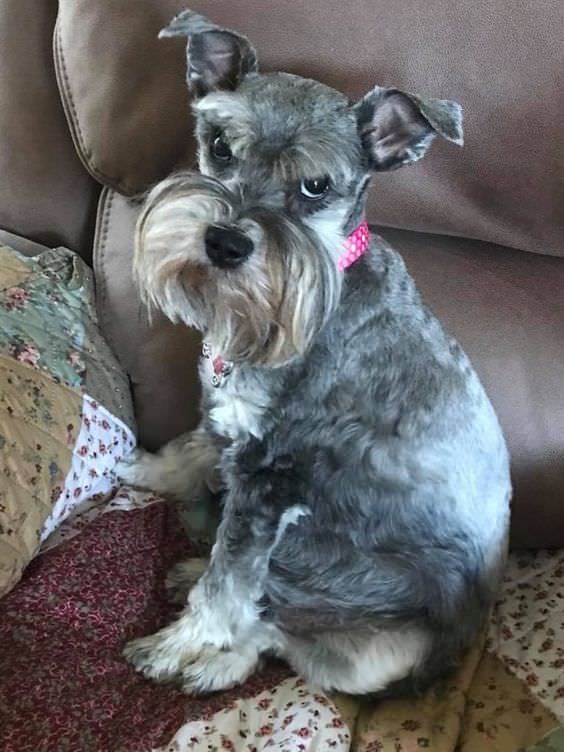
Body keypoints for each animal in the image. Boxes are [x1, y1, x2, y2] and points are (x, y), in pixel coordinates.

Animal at [119, 7, 512, 700]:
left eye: (316, 185)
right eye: (220, 146)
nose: (225, 242)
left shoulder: (271, 481)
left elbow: (226, 585)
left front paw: (173, 645)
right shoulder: (232, 428)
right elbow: (190, 450)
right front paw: (143, 468)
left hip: (357, 631)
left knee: (273, 633)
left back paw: (210, 655)